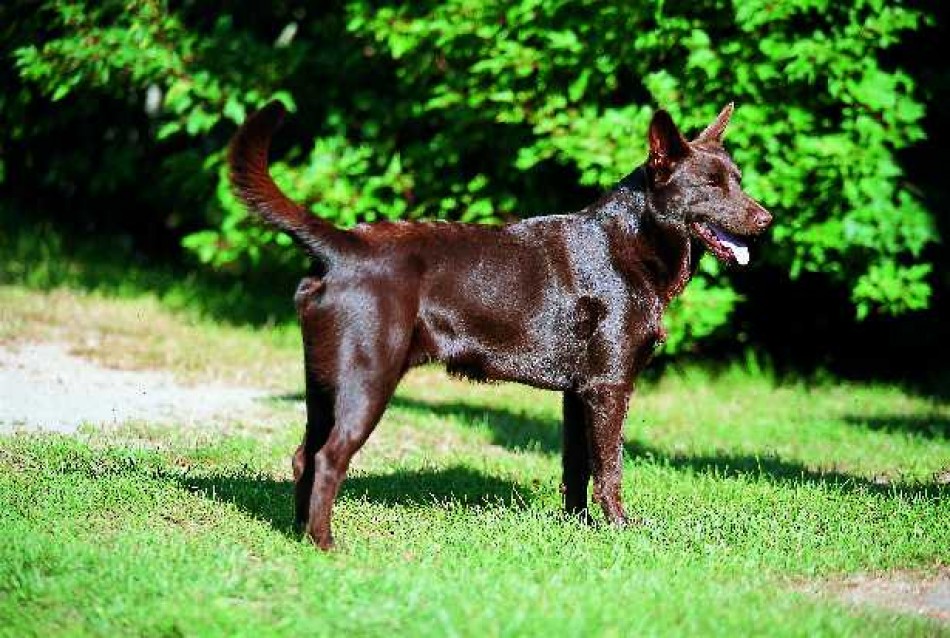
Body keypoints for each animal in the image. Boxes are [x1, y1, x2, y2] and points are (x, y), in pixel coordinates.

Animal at [229, 101, 772, 552]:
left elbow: (577, 467)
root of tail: (342, 246)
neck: (632, 244)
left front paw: (579, 528)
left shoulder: (578, 393)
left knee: (303, 455)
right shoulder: (609, 387)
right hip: (367, 380)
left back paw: (299, 536)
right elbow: (610, 468)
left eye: (738, 179)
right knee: (328, 458)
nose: (766, 219)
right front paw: (620, 529)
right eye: (711, 185)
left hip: (323, 384)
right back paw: (326, 545)